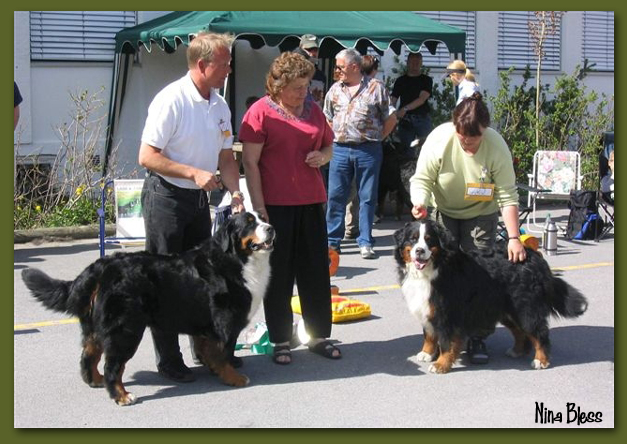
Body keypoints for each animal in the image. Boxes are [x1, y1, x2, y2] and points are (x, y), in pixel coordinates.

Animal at [21, 212, 274, 406]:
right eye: (249, 223)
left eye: (263, 218)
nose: (271, 228)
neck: (236, 259)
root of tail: (102, 266)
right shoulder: (225, 322)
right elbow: (224, 353)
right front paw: (233, 377)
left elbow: (208, 349)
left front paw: (213, 367)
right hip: (125, 329)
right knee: (113, 365)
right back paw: (121, 395)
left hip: (94, 325)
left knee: (88, 355)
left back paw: (95, 379)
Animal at [394, 219, 592, 374]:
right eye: (412, 239)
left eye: (429, 240)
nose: (419, 251)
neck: (435, 268)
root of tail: (534, 257)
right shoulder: (428, 307)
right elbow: (429, 334)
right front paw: (427, 353)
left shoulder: (446, 312)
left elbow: (446, 341)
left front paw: (441, 364)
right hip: (508, 310)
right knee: (520, 331)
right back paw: (517, 351)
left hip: (525, 308)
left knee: (539, 333)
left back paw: (540, 360)